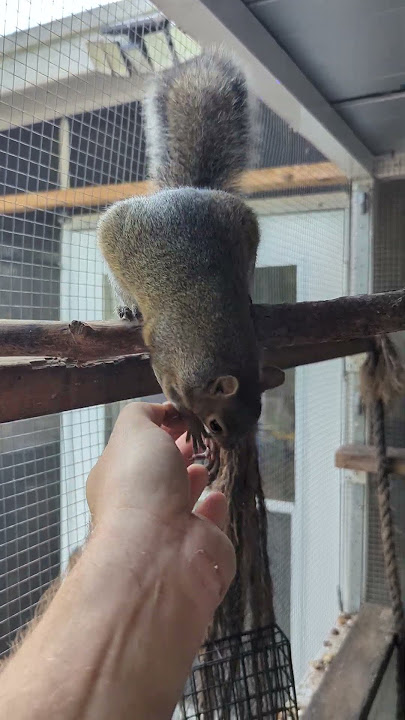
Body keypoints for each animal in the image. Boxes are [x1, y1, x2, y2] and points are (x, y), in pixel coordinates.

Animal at [98, 50, 283, 466]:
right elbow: (173, 395)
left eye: (259, 415)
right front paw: (191, 422)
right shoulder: (166, 361)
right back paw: (128, 306)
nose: (229, 450)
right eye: (216, 425)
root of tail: (185, 189)